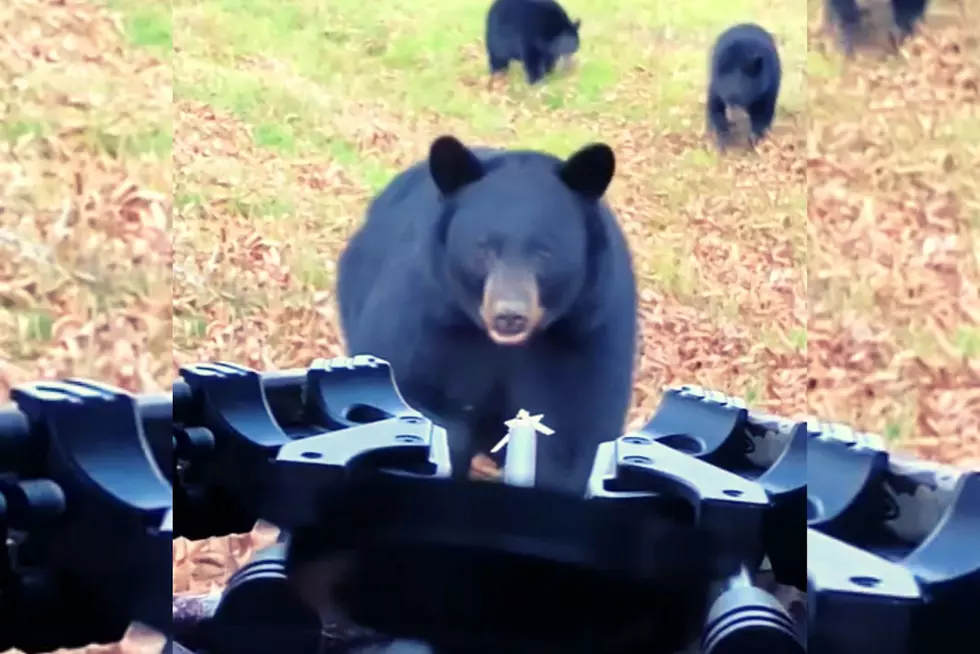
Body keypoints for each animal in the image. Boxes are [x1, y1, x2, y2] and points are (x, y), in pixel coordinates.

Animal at [336, 137, 640, 498]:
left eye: (544, 252)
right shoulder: (428, 314)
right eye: (484, 248)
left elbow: (573, 437)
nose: (510, 315)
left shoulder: (583, 331)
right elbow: (402, 386)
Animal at [704, 23, 780, 151]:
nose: (732, 119)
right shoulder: (716, 85)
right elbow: (715, 107)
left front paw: (754, 139)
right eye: (727, 98)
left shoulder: (767, 88)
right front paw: (723, 139)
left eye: (741, 98)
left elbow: (763, 112)